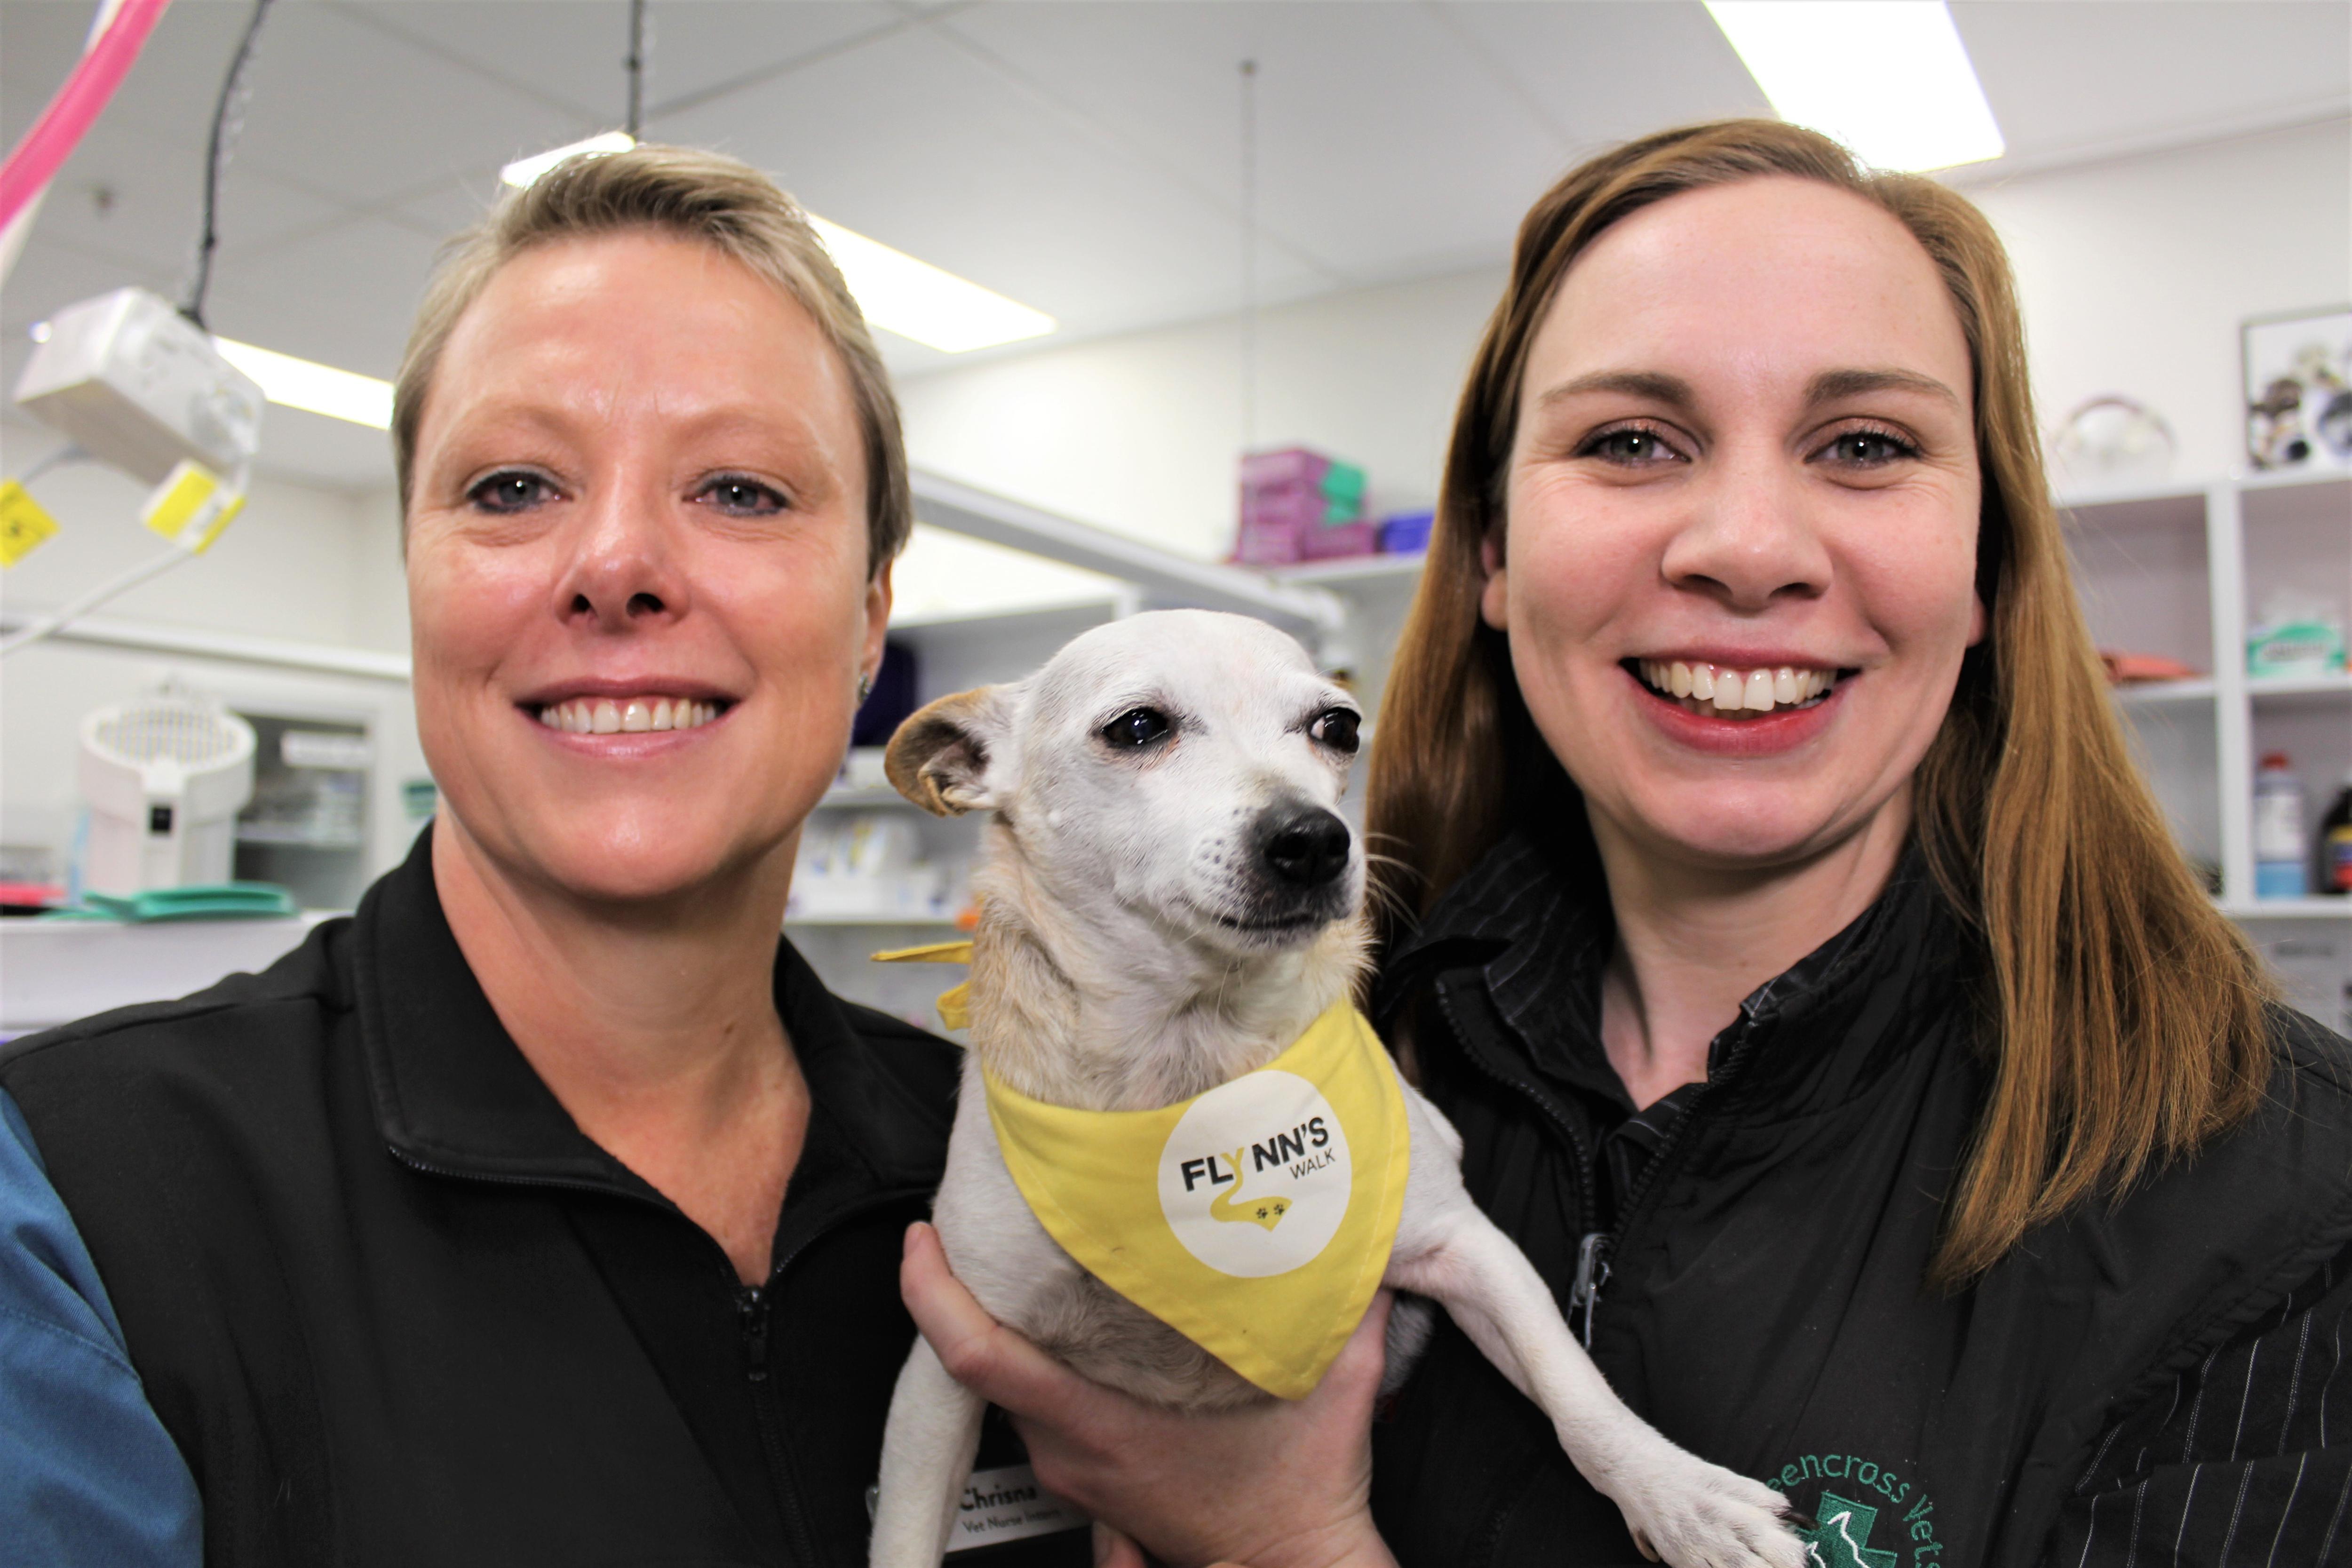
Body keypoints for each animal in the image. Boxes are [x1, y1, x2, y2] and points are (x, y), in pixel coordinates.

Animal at [866, 611, 1797, 1568]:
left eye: (1338, 727)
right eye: (1137, 727)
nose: (1314, 838)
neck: (1194, 1060)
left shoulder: (1469, 1250)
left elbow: (1574, 1388)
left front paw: (1679, 1495)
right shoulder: (942, 1370)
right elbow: (904, 1530)